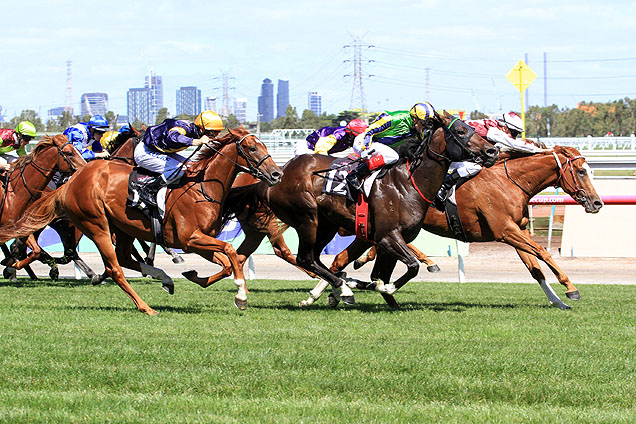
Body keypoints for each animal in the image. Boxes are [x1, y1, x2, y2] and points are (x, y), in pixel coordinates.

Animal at [0, 134, 86, 276]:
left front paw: (10, 264)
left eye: (78, 150)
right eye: (69, 153)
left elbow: (35, 251)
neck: (16, 191)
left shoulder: (21, 226)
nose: (86, 168)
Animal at [221, 111, 500, 306]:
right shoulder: (388, 236)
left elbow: (383, 274)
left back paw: (338, 286)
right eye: (462, 131)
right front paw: (376, 286)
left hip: (327, 224)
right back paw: (342, 288)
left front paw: (377, 289)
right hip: (307, 218)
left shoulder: (390, 240)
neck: (407, 182)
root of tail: (275, 176)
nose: (491, 150)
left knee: (316, 260)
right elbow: (409, 268)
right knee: (305, 258)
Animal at [328, 146, 608, 308]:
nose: (597, 203)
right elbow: (543, 252)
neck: (510, 182)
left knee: (343, 259)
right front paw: (571, 288)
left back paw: (337, 291)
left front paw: (558, 301)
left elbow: (535, 268)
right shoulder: (505, 231)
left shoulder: (516, 231)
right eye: (581, 171)